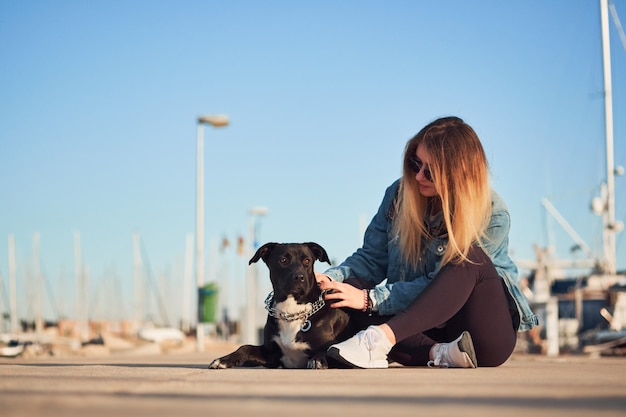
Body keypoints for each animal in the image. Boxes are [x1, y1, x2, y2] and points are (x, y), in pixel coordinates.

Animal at [206, 242, 348, 368]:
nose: (299, 277)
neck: (291, 311)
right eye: (283, 260)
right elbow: (245, 347)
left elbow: (328, 350)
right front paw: (223, 360)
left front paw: (317, 360)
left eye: (307, 261)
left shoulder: (331, 345)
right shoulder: (271, 355)